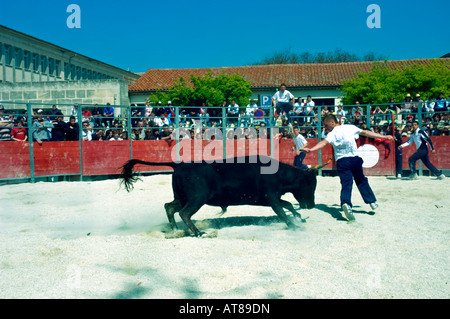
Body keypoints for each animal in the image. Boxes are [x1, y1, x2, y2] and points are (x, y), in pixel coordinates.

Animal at [121, 156, 328, 236]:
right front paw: (294, 225)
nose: (311, 205)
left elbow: (288, 205)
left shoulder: (267, 199)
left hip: (182, 197)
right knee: (184, 213)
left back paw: (176, 230)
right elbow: (283, 211)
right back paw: (198, 233)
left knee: (169, 207)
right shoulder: (271, 197)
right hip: (197, 199)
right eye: (310, 183)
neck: (278, 174)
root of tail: (179, 165)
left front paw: (299, 217)